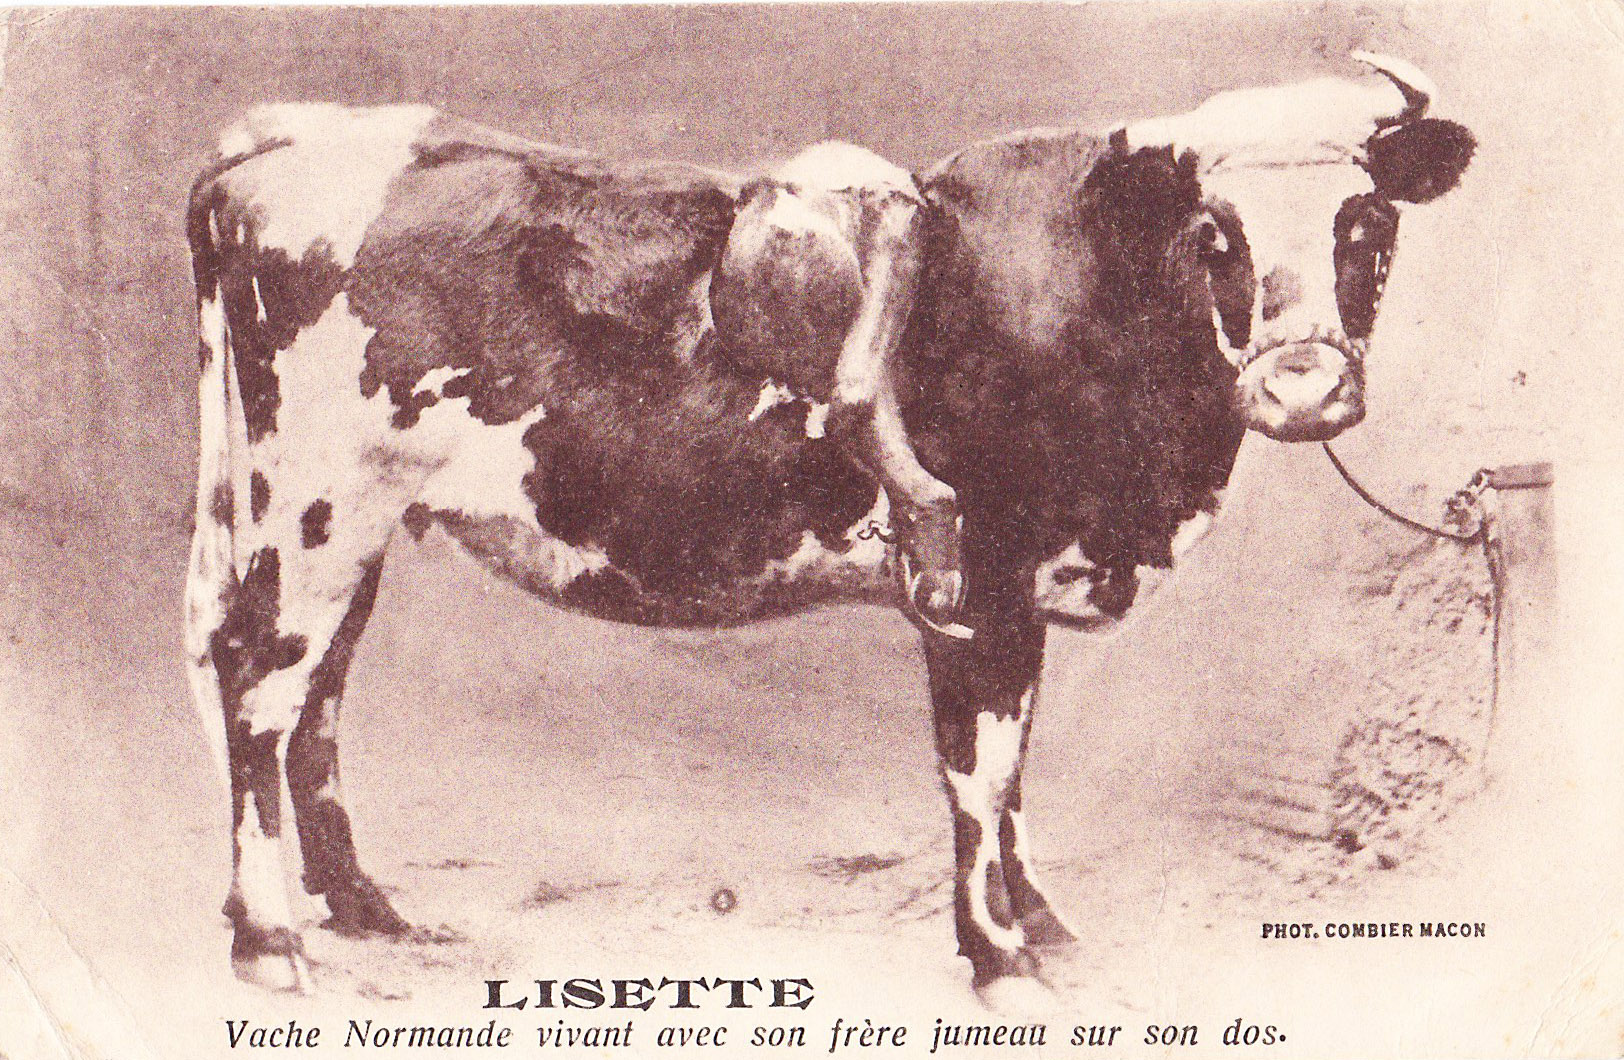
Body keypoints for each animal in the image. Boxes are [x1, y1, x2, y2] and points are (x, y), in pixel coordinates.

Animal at [182, 52, 1472, 1002]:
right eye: (1215, 236)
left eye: (1366, 225)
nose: (1303, 387)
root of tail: (285, 140)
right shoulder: (975, 584)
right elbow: (978, 771)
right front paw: (998, 955)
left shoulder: (1021, 594)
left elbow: (1016, 769)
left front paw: (1041, 924)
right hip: (315, 505)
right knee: (255, 681)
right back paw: (268, 941)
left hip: (349, 527)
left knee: (317, 699)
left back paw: (367, 913)